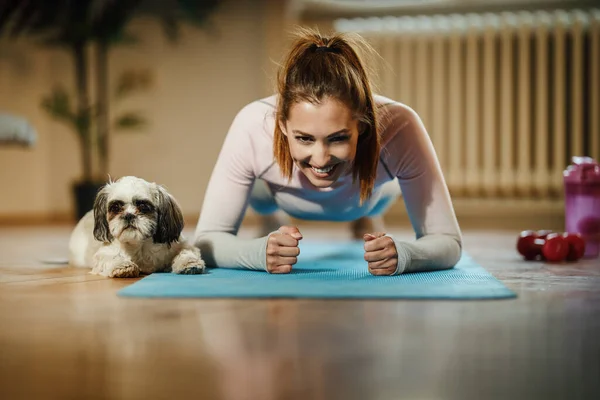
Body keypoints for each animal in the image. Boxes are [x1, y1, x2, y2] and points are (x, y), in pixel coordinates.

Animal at [68, 175, 206, 278]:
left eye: (143, 206)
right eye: (116, 207)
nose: (129, 215)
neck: (140, 245)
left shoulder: (181, 245)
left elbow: (185, 252)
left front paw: (189, 263)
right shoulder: (103, 254)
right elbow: (112, 257)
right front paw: (123, 266)